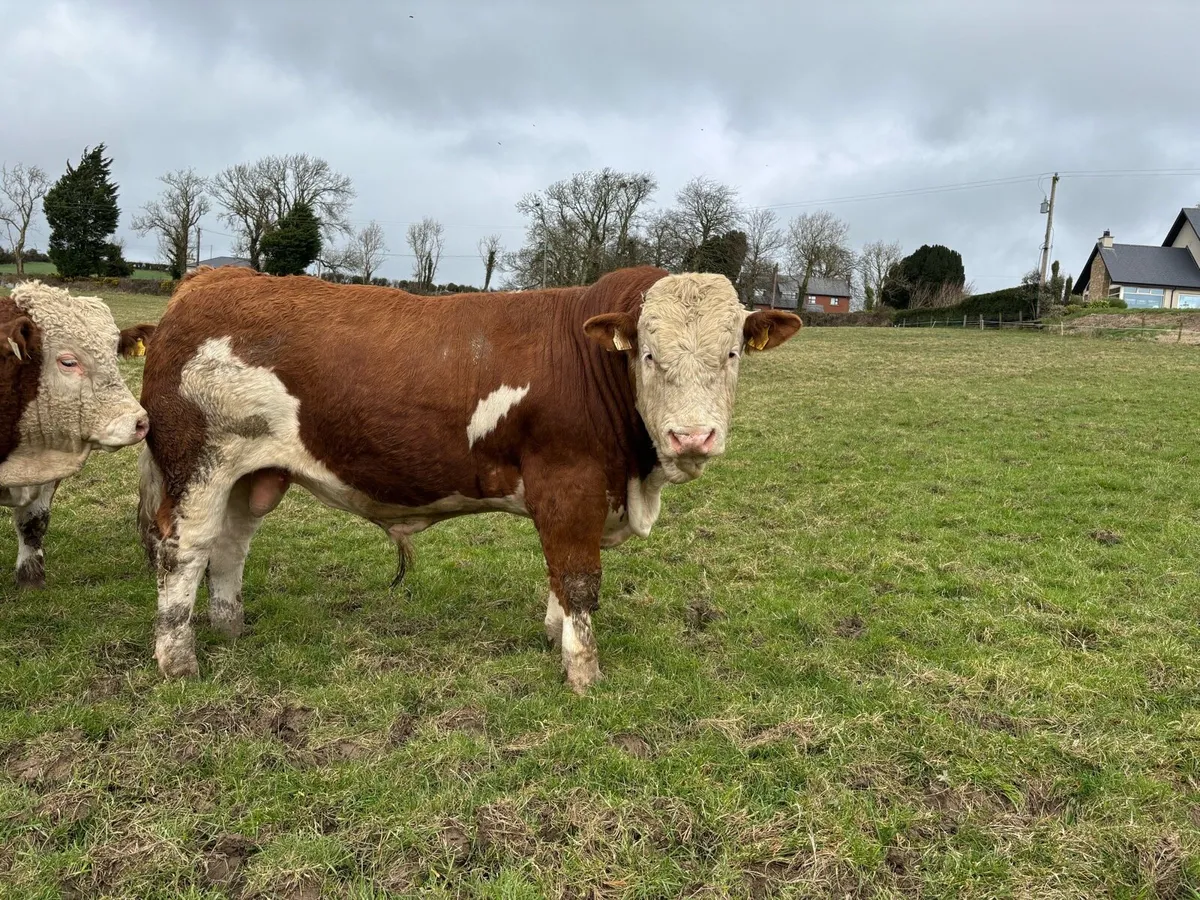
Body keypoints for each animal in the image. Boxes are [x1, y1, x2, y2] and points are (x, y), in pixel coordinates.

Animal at [137, 264, 801, 692]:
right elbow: (579, 578)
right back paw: (178, 661)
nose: (692, 437)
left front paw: (553, 633)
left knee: (230, 546)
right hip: (198, 466)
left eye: (731, 354)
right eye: (648, 354)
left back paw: (230, 627)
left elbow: (559, 575)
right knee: (184, 550)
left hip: (251, 475)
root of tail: (211, 279)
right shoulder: (570, 485)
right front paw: (583, 670)